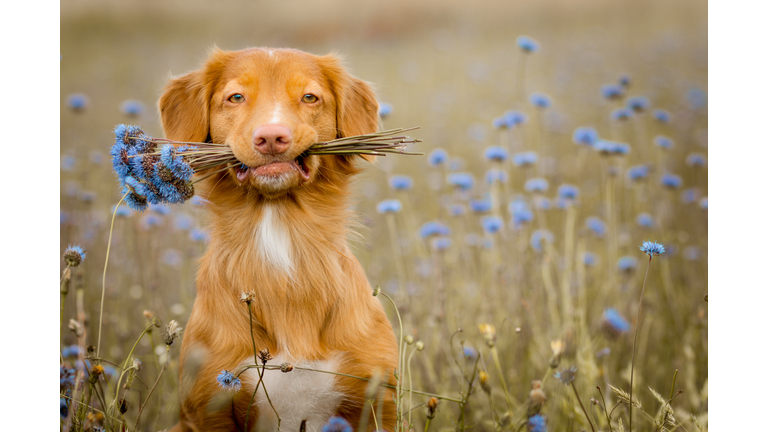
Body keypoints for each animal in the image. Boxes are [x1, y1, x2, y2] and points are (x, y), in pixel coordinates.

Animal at [161, 45, 400, 430]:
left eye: (310, 97)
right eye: (236, 97)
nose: (272, 137)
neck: (279, 232)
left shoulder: (377, 404)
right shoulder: (208, 409)